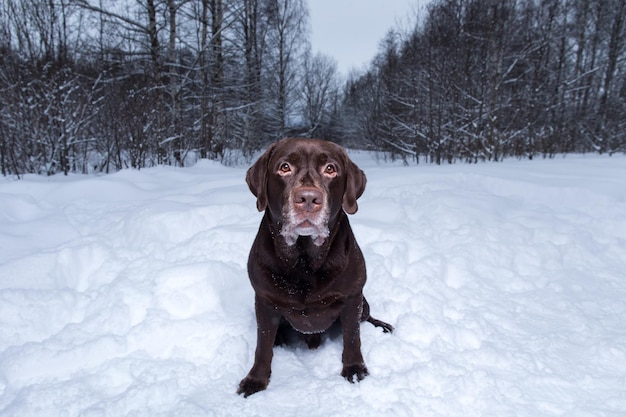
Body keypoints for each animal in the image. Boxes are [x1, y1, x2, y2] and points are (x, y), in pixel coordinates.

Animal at [236, 137, 392, 396]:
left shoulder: (352, 297)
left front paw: (354, 369)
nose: (308, 198)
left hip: (363, 302)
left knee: (366, 318)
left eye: (330, 169)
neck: (304, 260)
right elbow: (262, 345)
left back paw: (383, 326)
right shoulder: (264, 301)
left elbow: (352, 337)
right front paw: (256, 379)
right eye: (284, 167)